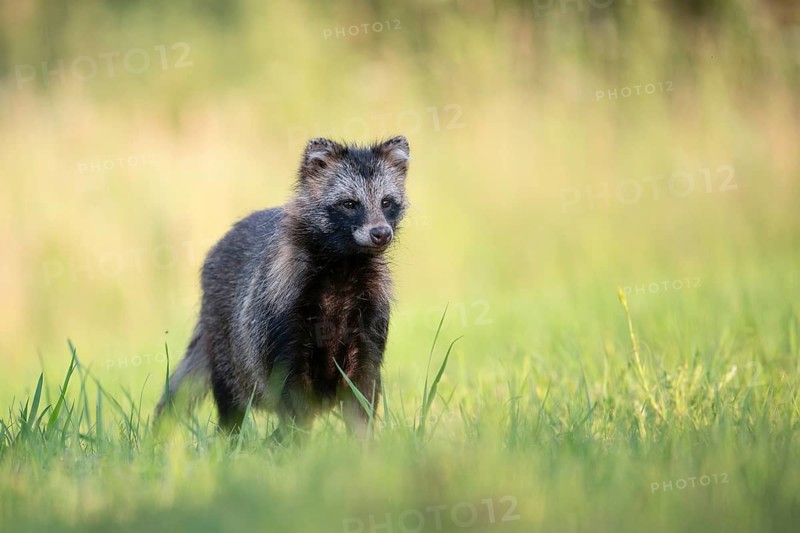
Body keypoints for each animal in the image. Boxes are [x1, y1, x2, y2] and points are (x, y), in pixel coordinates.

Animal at [155, 136, 410, 440]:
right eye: (349, 203)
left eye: (387, 202)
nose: (380, 233)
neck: (343, 269)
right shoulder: (281, 312)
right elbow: (292, 395)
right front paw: (298, 442)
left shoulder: (369, 319)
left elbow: (363, 391)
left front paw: (362, 441)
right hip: (225, 340)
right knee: (230, 397)